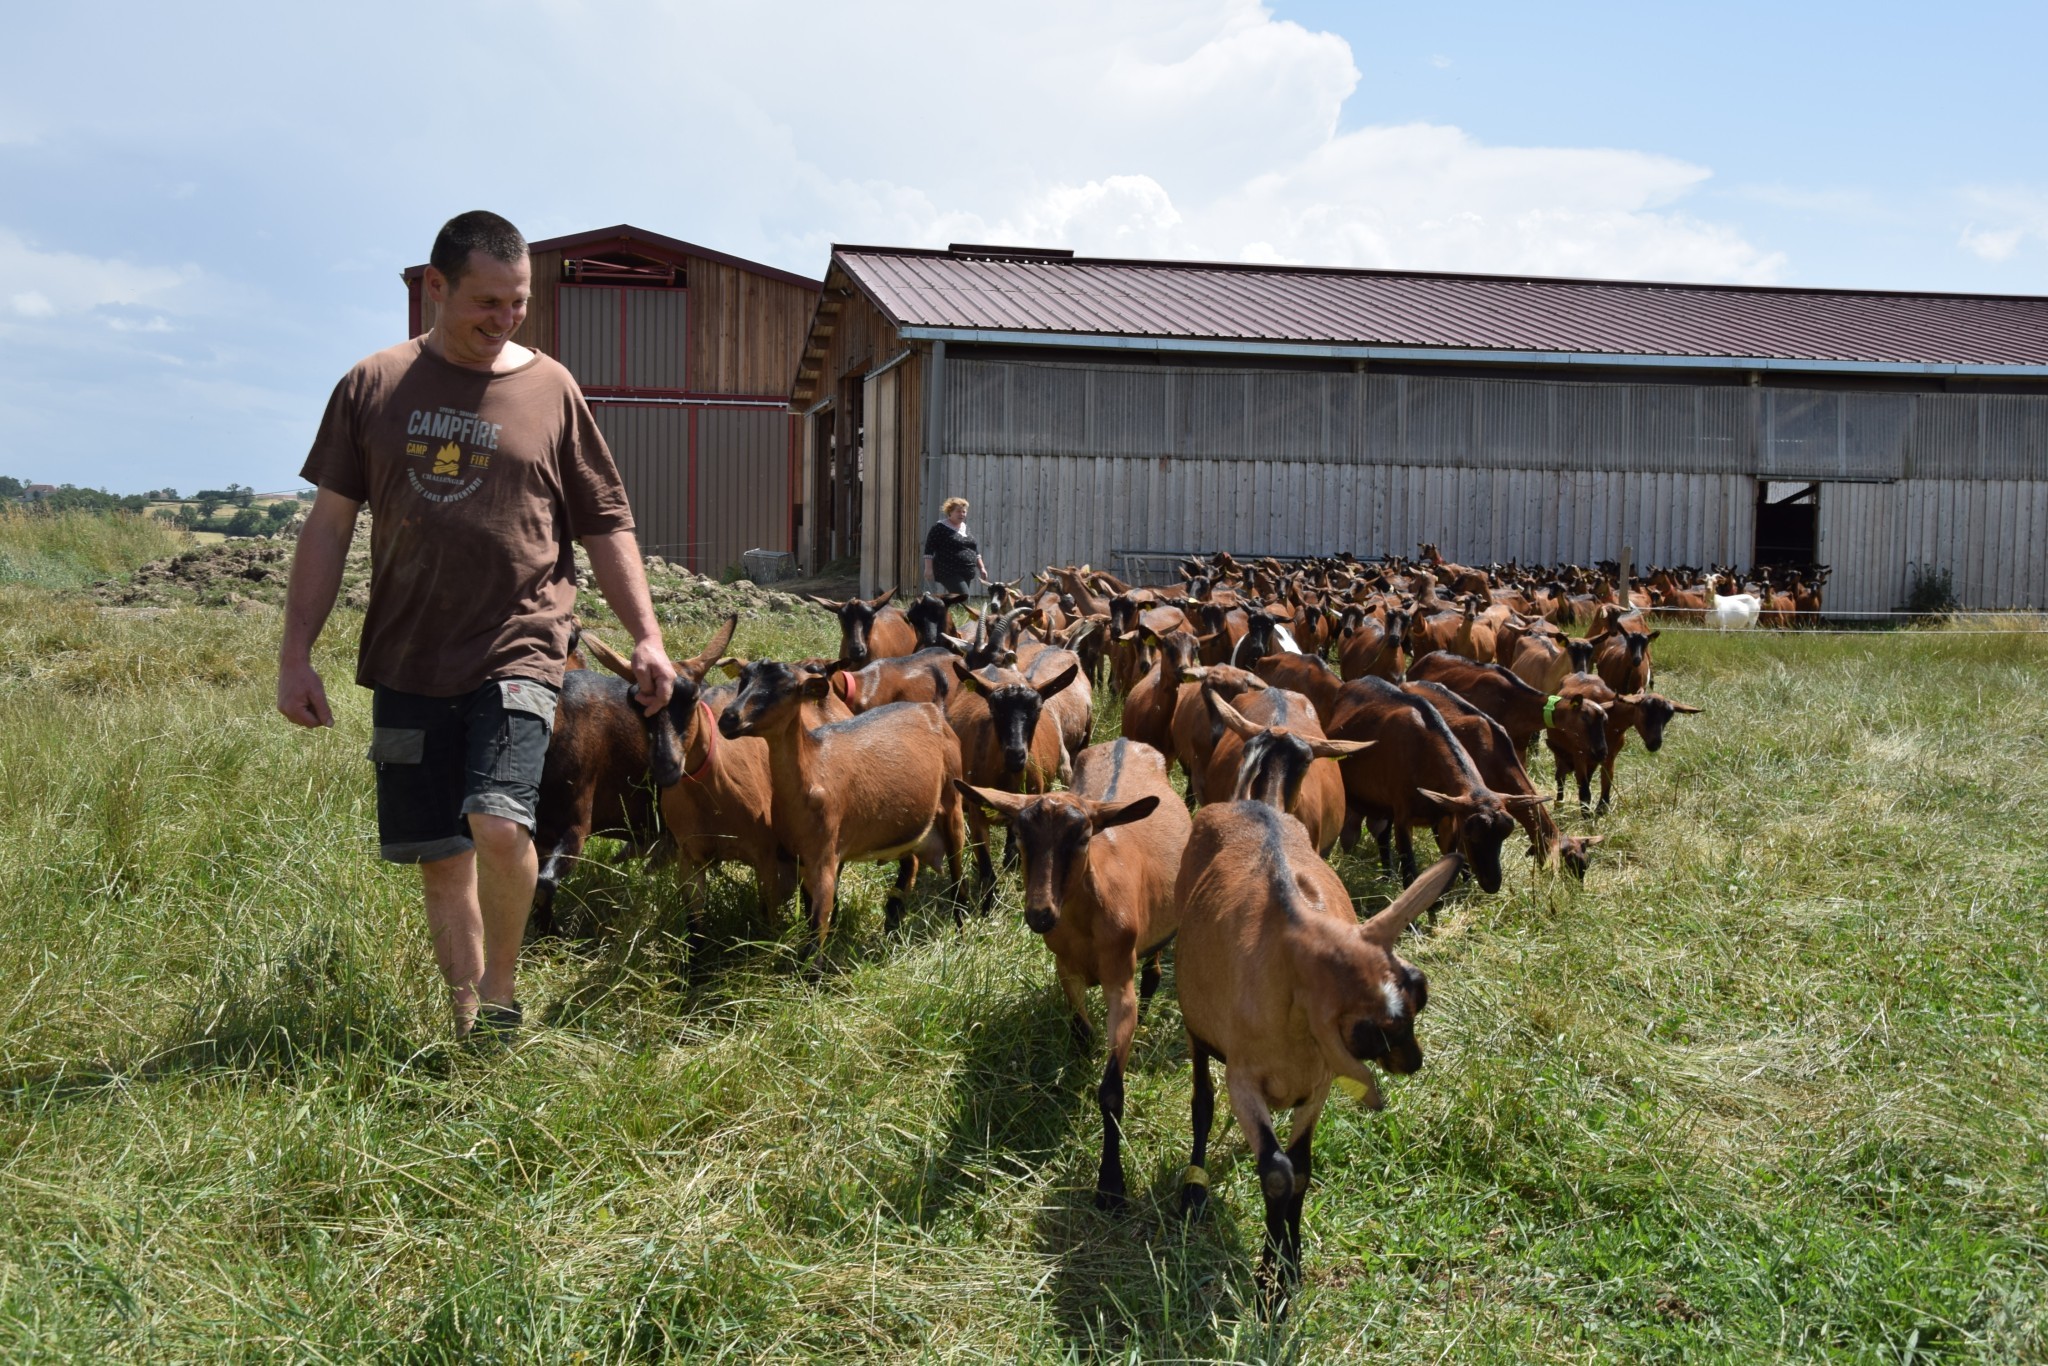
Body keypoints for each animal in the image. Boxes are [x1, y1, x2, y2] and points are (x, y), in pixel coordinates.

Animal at [954, 741, 1187, 1212]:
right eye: (1020, 837)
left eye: (1081, 838)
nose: (1039, 914)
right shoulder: (1066, 970)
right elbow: (1080, 1031)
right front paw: (1079, 1065)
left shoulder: (1120, 982)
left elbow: (1112, 1092)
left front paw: (1111, 1187)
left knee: (1154, 972)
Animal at [1179, 810, 1466, 1294]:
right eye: (1368, 1033)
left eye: (1418, 988)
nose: (1414, 1062)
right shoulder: (1243, 1080)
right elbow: (1278, 1172)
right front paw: (1269, 1284)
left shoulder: (1318, 1084)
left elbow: (1300, 1169)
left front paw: (1290, 1264)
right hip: (1196, 1031)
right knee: (1202, 1103)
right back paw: (1193, 1193)